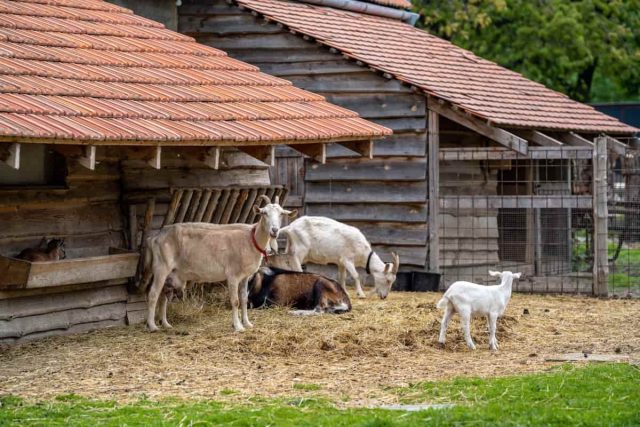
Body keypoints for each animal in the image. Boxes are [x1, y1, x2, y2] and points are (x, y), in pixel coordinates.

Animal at [144, 196, 296, 332]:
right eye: (264, 213)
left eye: (281, 214)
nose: (274, 230)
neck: (251, 239)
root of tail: (155, 237)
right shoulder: (233, 275)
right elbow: (235, 301)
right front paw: (238, 327)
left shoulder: (245, 276)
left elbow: (244, 299)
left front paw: (247, 323)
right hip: (161, 267)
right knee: (153, 294)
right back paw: (152, 326)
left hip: (170, 273)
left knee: (163, 296)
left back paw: (166, 324)